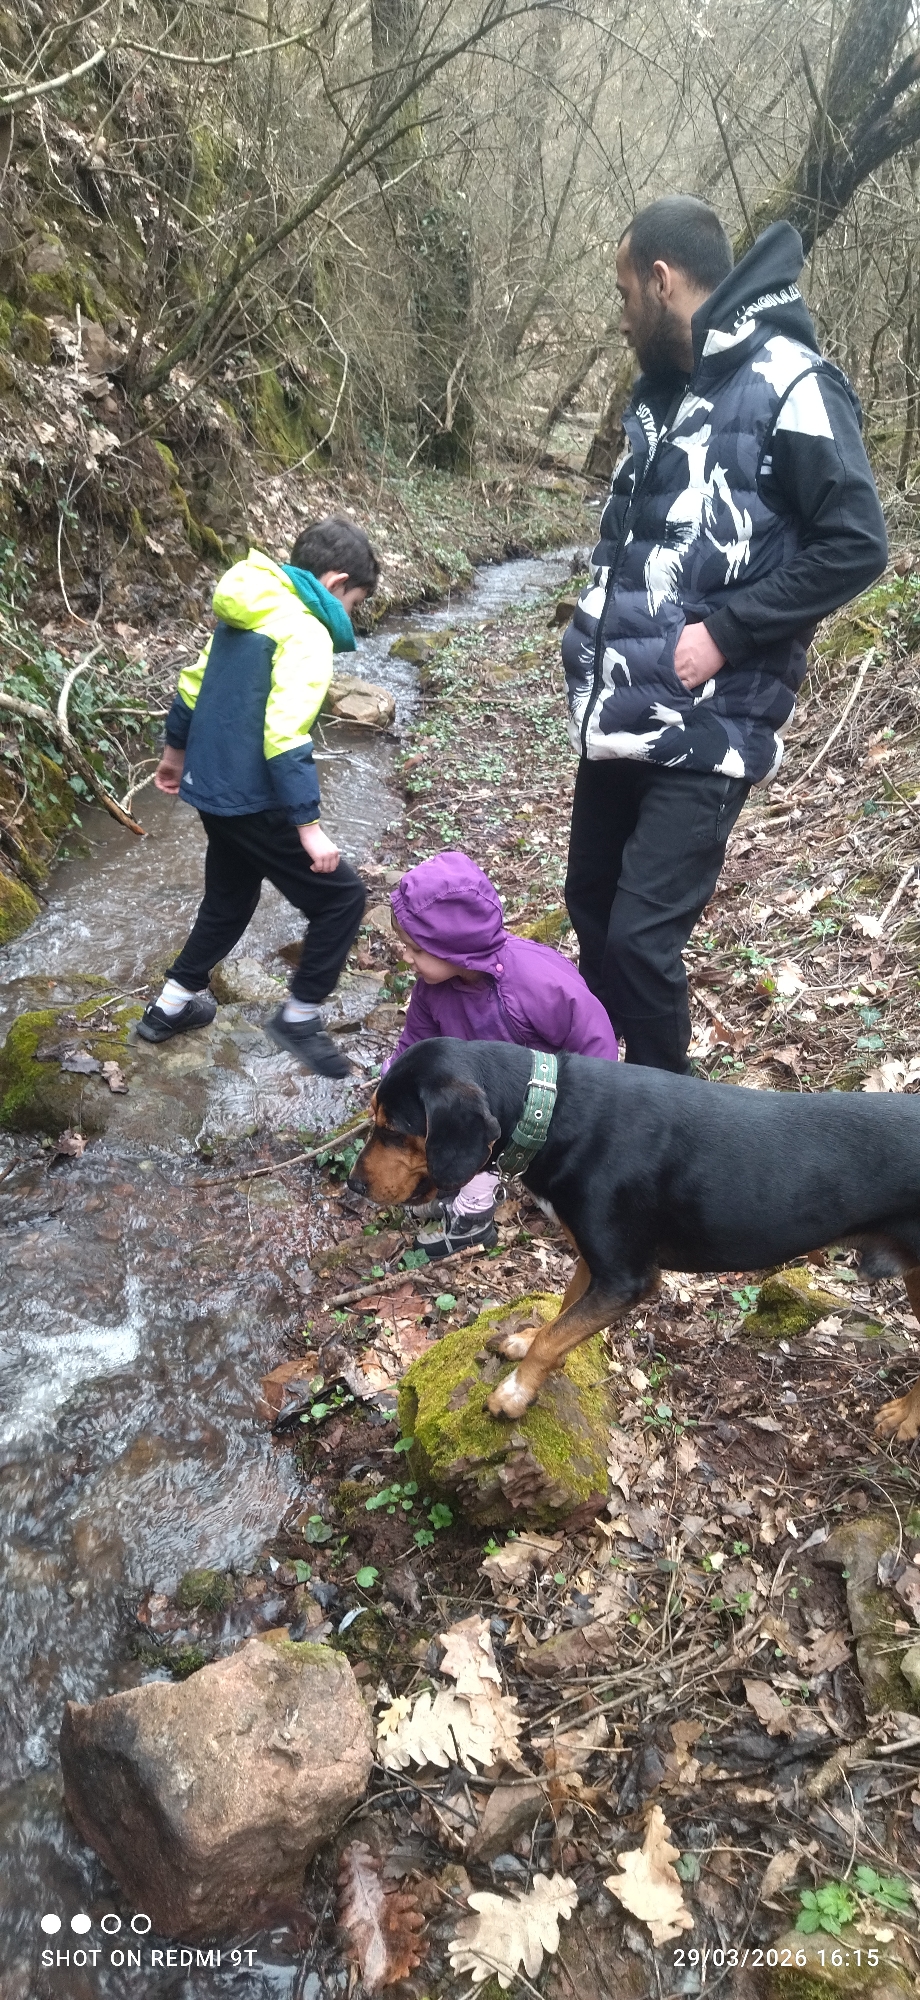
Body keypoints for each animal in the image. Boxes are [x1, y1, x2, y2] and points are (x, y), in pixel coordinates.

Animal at [348, 1037, 920, 1441]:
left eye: (393, 1130)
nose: (353, 1185)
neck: (550, 1109)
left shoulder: (627, 1280)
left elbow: (556, 1337)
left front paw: (513, 1394)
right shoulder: (593, 1261)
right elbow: (560, 1318)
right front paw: (527, 1343)